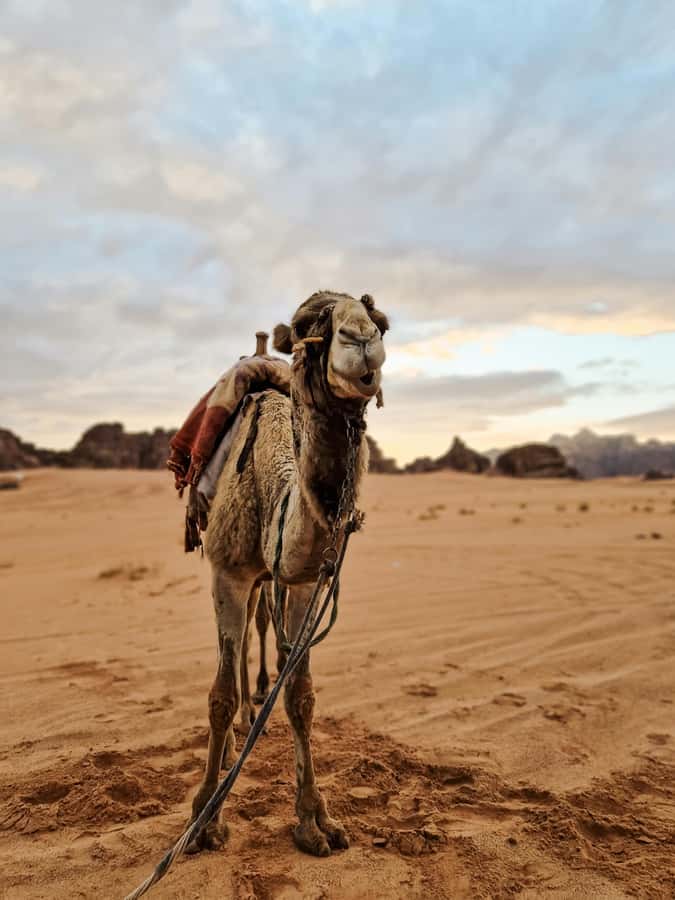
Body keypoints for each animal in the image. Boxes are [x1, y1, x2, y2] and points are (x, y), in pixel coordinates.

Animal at [188, 291, 388, 857]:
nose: (361, 338)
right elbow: (217, 695)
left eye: (380, 320)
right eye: (304, 326)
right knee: (237, 651)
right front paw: (205, 819)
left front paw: (315, 821)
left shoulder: (300, 581)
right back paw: (234, 737)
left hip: (267, 580)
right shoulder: (227, 572)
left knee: (259, 627)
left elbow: (300, 696)